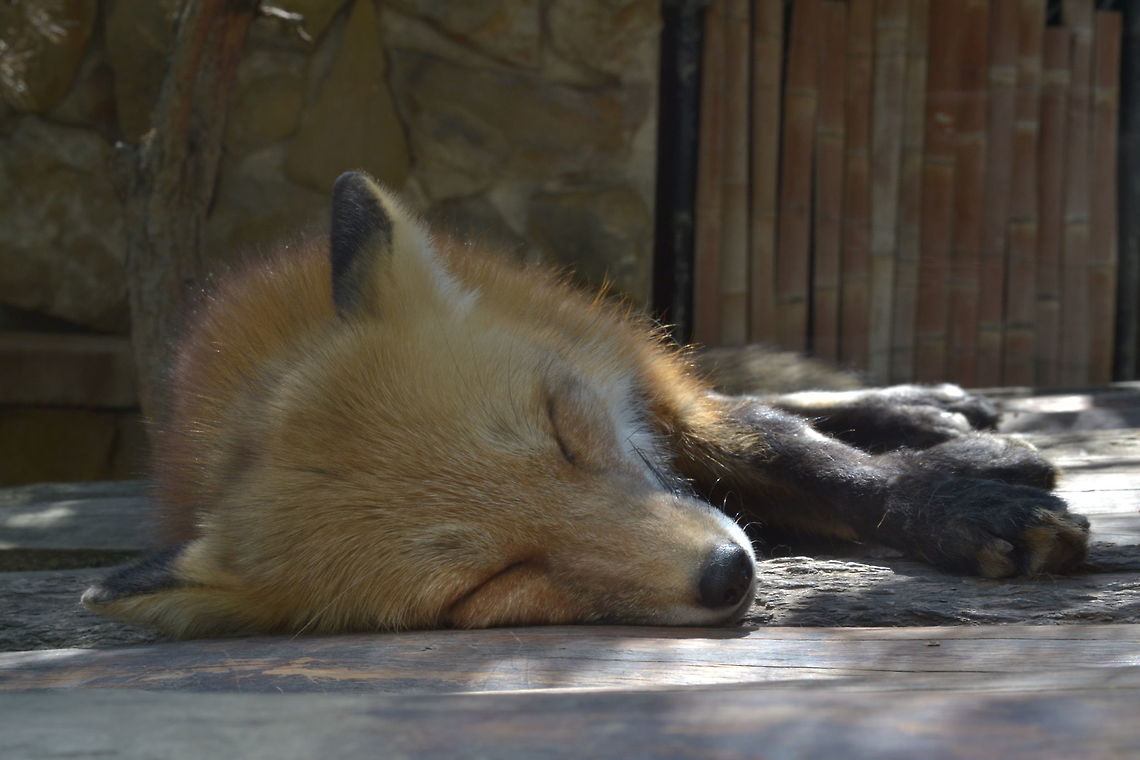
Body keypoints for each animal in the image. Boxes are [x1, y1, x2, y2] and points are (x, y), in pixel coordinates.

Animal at [83, 171, 1090, 638]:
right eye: (491, 583)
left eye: (564, 433)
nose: (727, 573)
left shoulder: (639, 391)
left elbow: (804, 456)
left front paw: (953, 503)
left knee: (766, 400)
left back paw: (932, 417)